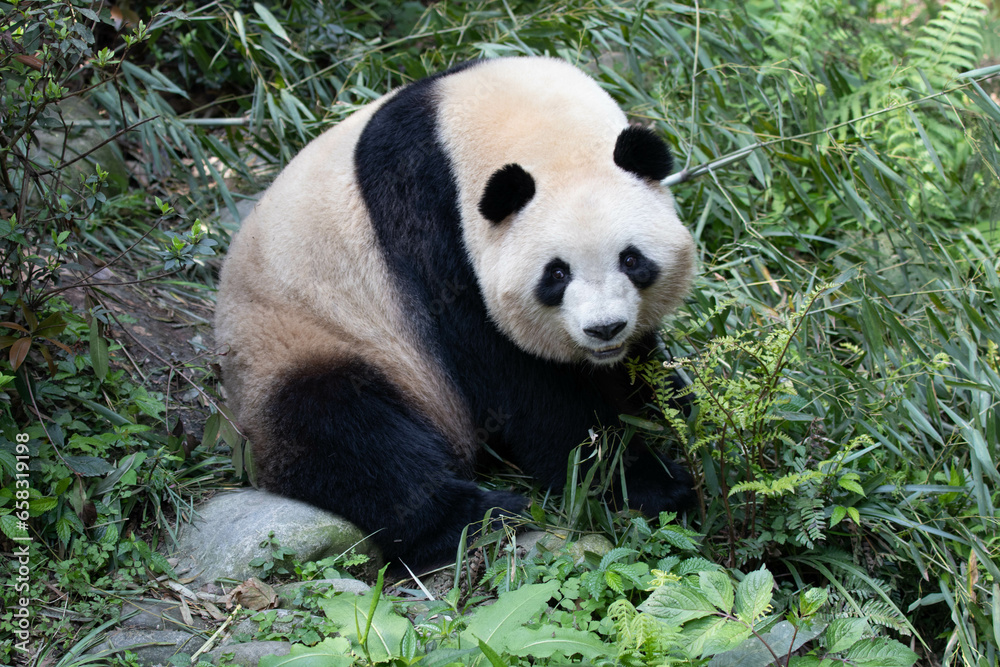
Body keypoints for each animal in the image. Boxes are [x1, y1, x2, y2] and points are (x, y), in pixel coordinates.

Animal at [215, 56, 697, 568]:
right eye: (556, 274)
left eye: (631, 260)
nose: (604, 329)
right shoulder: (432, 228)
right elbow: (519, 382)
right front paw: (646, 483)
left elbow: (635, 369)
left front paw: (672, 408)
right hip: (300, 341)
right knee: (347, 433)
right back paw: (483, 515)